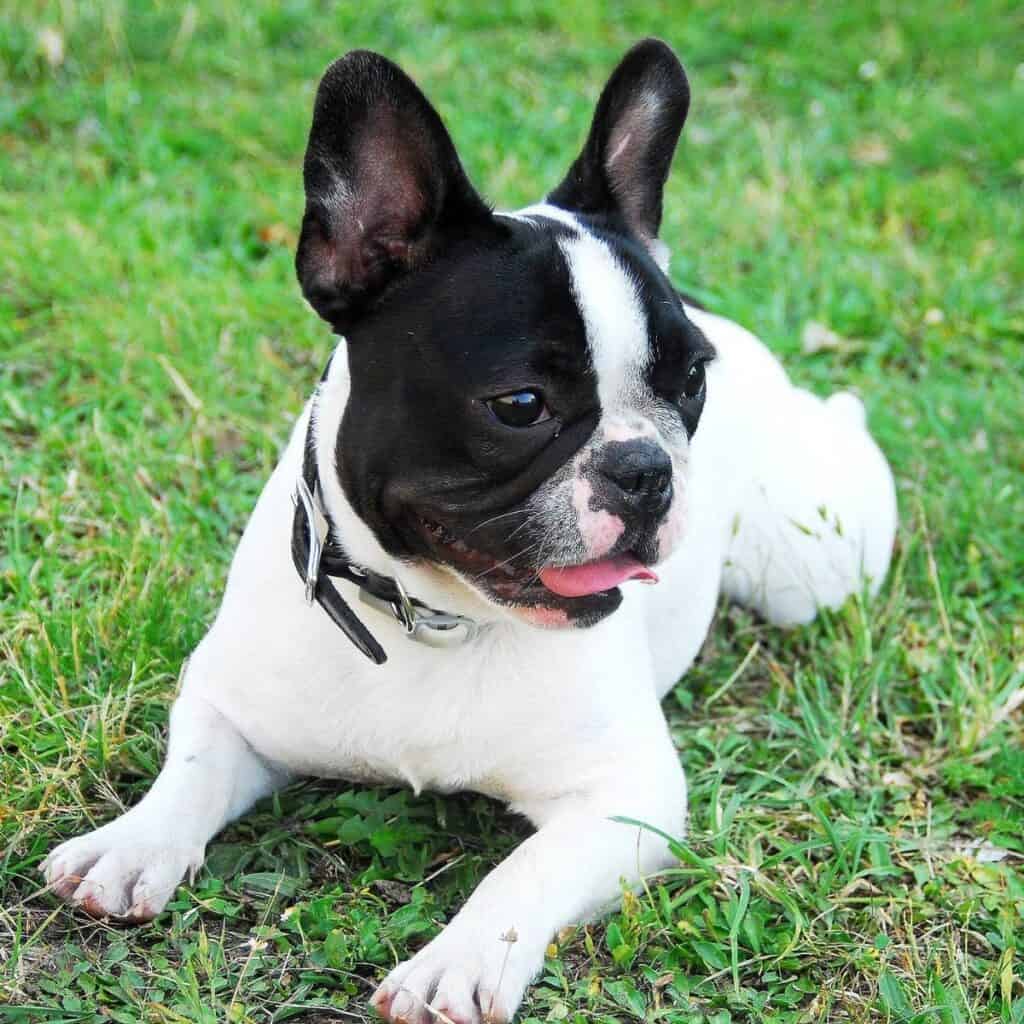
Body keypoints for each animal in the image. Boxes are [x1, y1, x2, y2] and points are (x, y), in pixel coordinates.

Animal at [44, 39, 897, 1024]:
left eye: (691, 383)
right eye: (520, 405)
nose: (645, 468)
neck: (435, 618)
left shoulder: (626, 795)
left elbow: (523, 873)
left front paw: (455, 963)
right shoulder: (229, 702)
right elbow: (190, 771)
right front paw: (131, 843)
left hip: (814, 563)